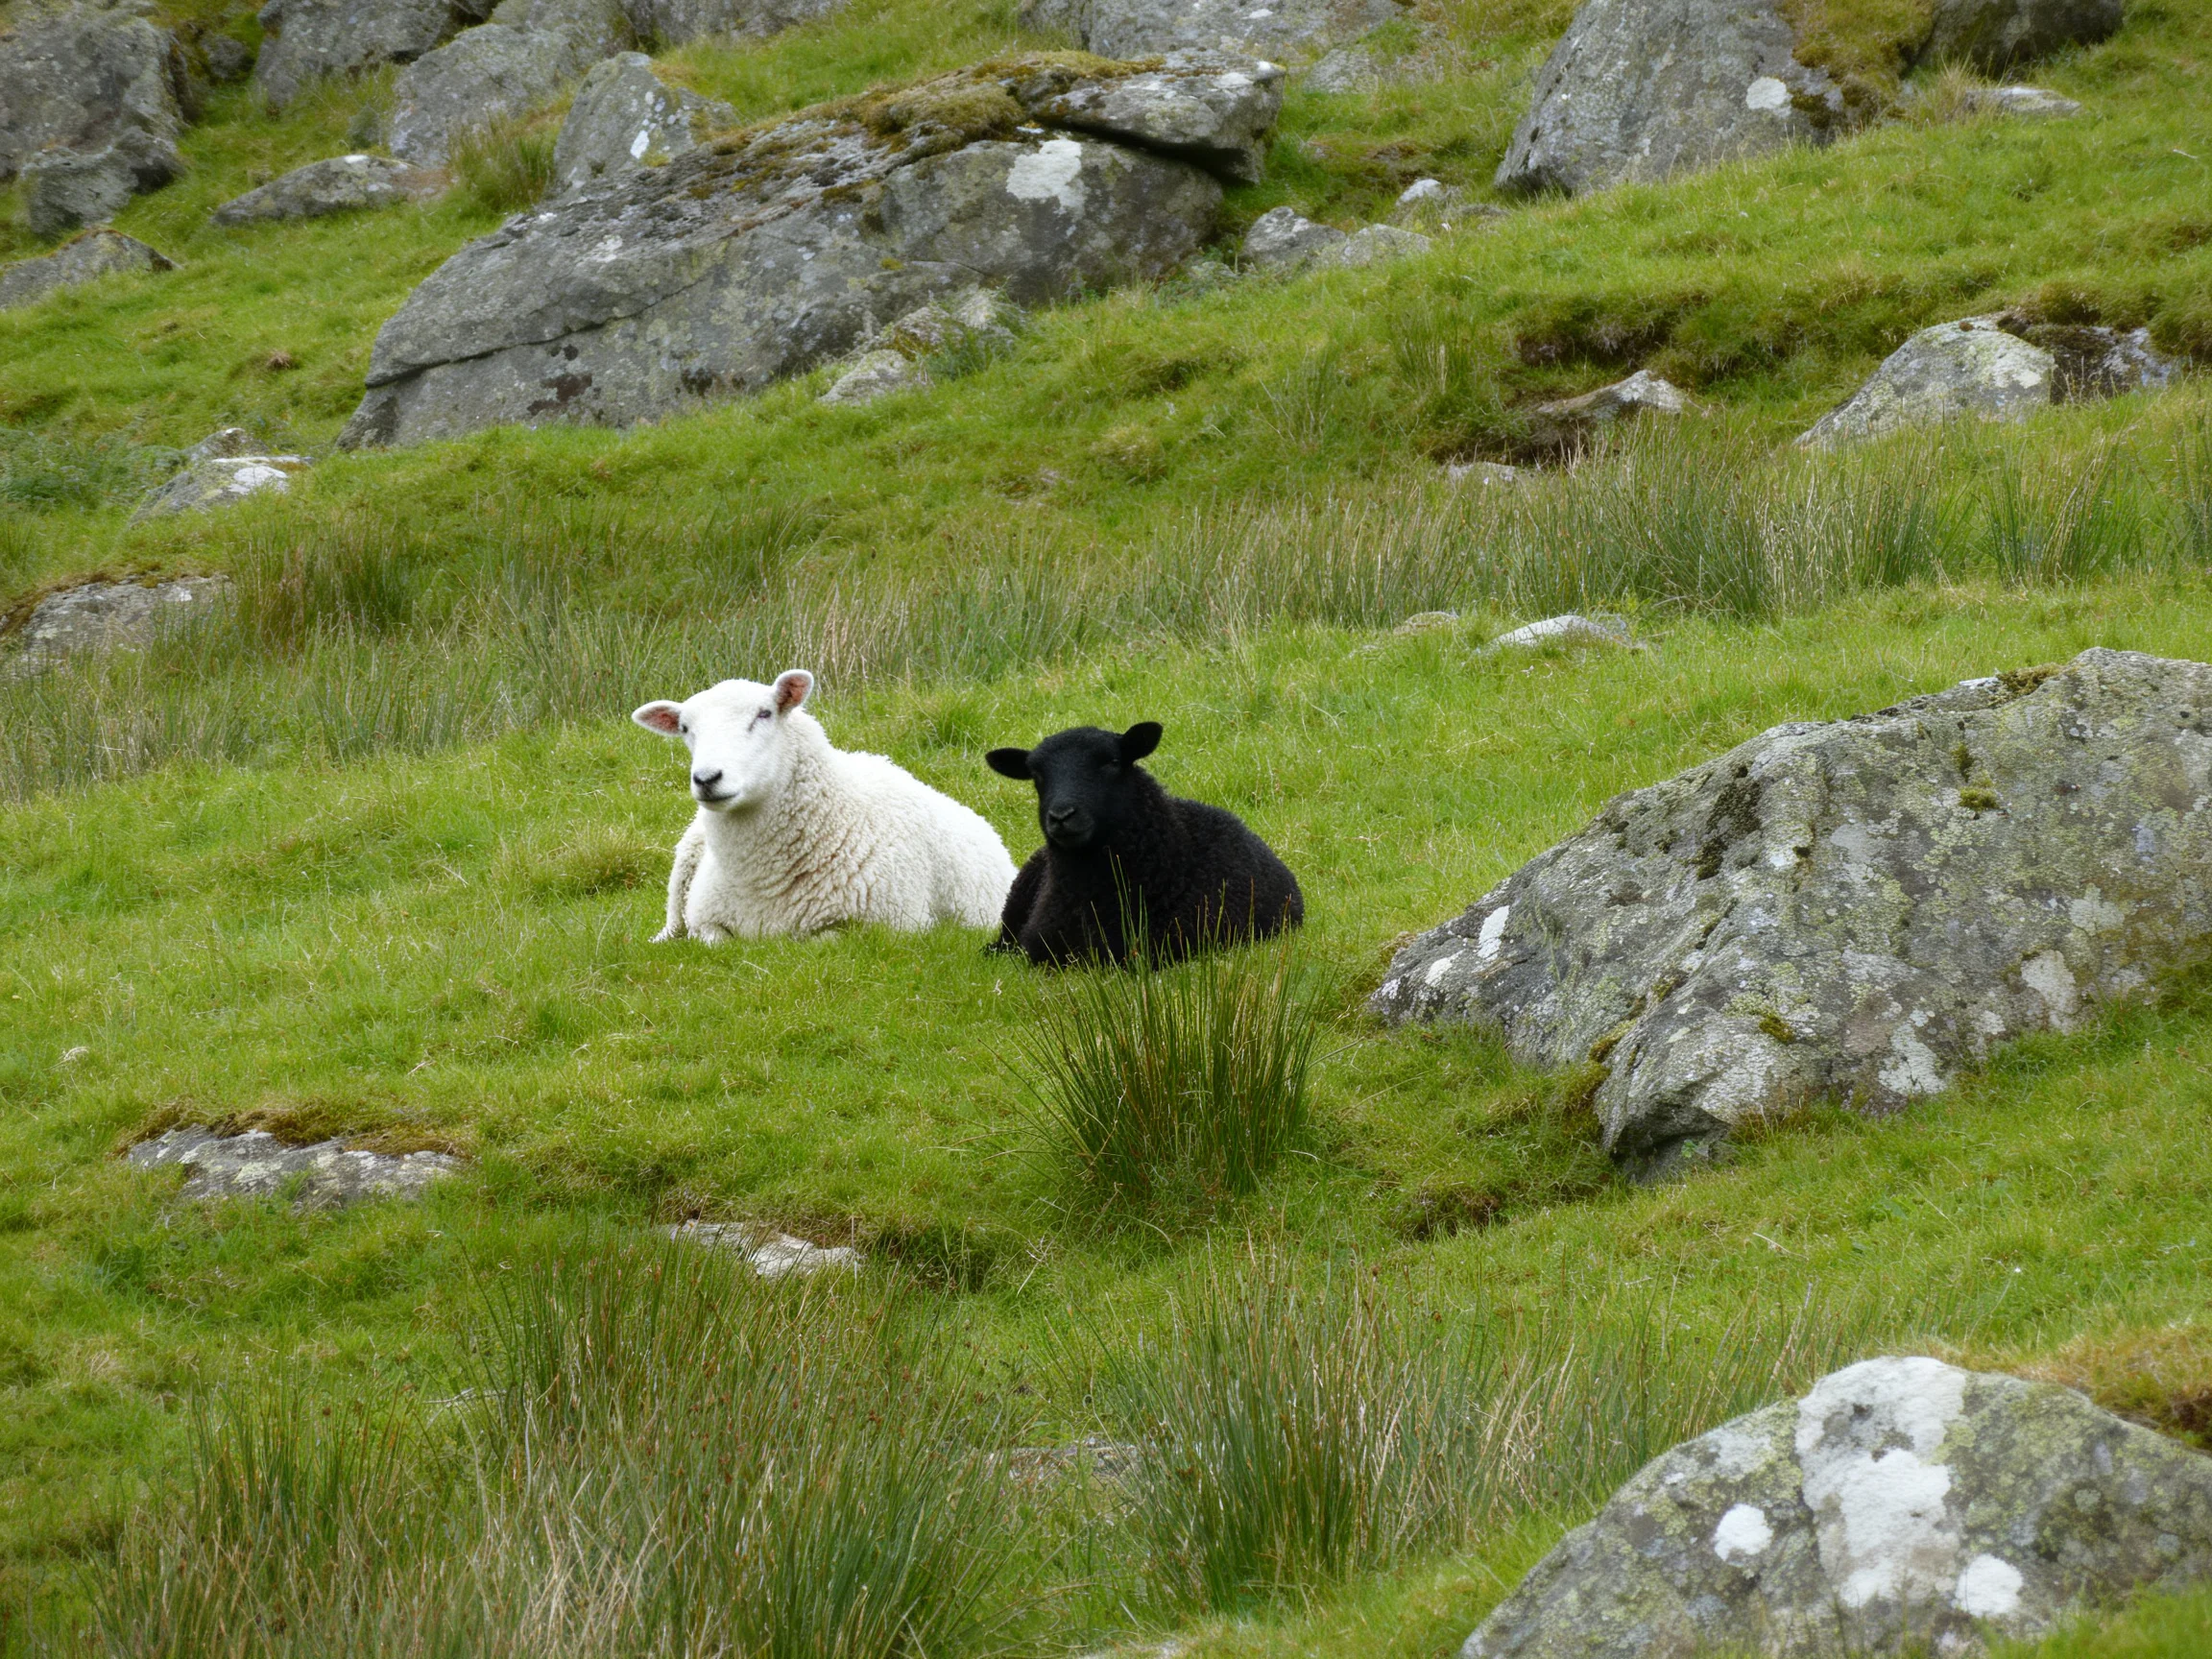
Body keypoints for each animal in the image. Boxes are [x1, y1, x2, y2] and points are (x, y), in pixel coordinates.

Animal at [633, 670, 1017, 941]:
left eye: (764, 714)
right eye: (685, 728)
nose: (707, 778)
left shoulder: (883, 930)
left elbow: (816, 939)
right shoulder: (706, 920)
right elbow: (712, 938)